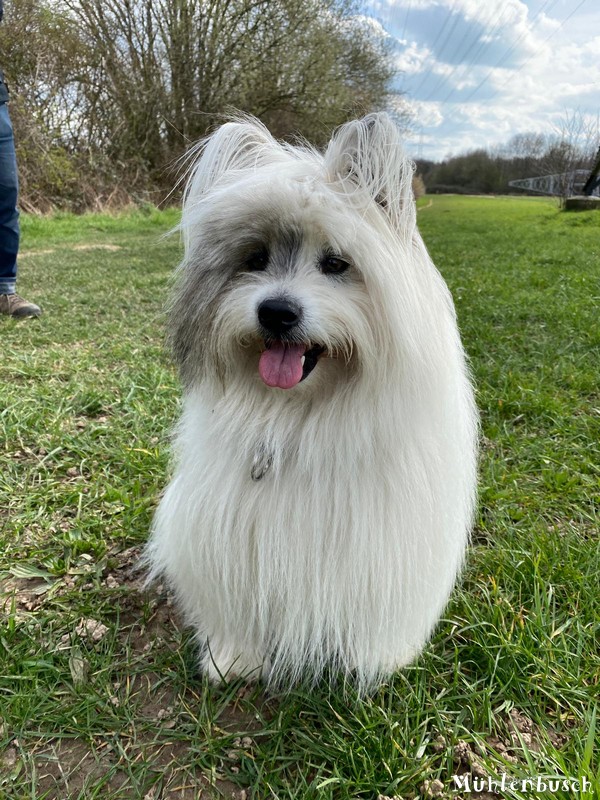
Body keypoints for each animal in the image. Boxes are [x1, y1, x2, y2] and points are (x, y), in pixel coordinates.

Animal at [146, 114, 478, 692]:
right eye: (255, 258)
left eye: (336, 263)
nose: (276, 311)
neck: (303, 413)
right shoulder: (233, 528)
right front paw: (233, 657)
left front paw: (377, 658)